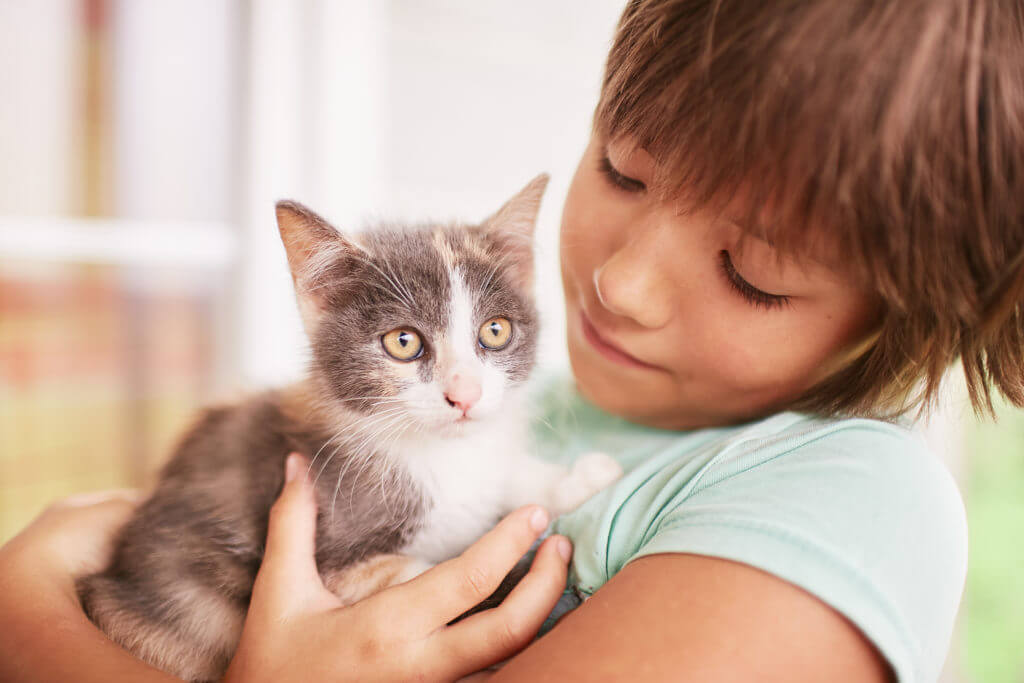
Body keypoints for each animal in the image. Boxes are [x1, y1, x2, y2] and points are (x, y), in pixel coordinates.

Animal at [75, 176, 618, 683]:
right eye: (403, 342)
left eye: (495, 331)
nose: (465, 394)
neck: (437, 456)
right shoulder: (340, 553)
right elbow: (423, 580)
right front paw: (525, 584)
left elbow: (504, 474)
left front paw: (580, 479)